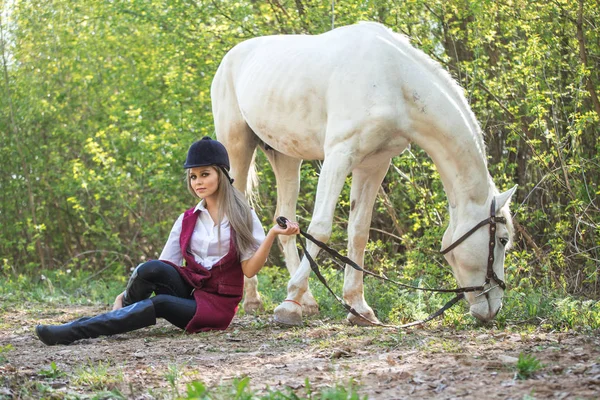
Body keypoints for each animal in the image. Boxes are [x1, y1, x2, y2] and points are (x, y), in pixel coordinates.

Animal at [210, 21, 516, 326]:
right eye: (502, 239)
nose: (494, 308)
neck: (394, 80)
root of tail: (231, 57)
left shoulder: (374, 165)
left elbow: (358, 233)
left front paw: (358, 307)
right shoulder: (339, 156)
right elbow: (320, 228)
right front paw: (288, 305)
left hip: (286, 156)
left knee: (285, 225)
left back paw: (306, 302)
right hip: (236, 147)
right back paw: (254, 300)